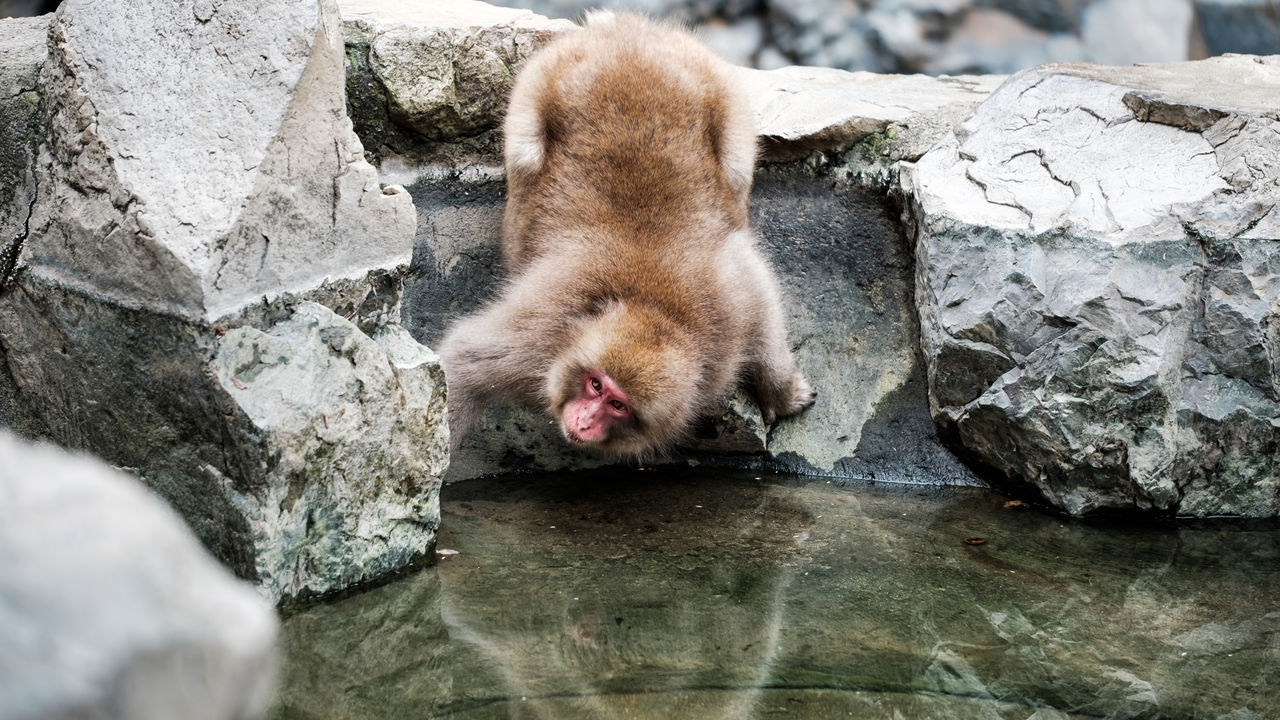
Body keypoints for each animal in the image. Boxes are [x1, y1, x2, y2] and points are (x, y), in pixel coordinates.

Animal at [445, 11, 814, 456]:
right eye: (595, 385)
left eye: (617, 404)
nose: (584, 421)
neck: (655, 310)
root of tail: (629, 32)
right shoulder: (535, 341)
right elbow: (463, 365)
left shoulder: (732, 308)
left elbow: (762, 298)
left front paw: (781, 391)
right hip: (537, 84)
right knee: (525, 154)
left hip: (722, 90)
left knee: (738, 166)